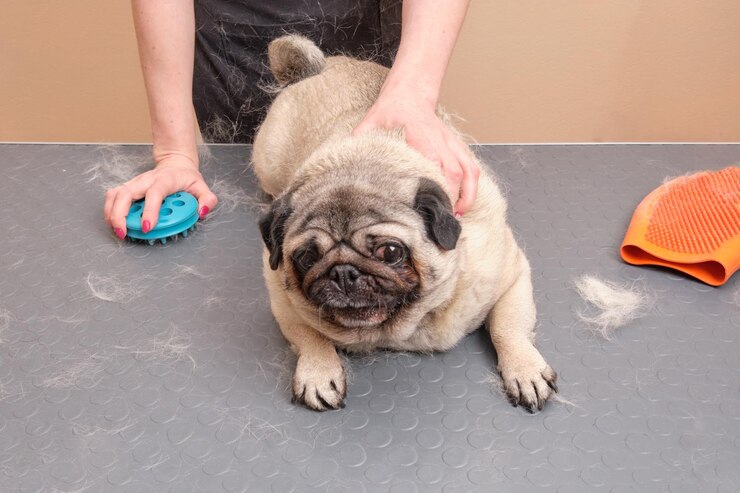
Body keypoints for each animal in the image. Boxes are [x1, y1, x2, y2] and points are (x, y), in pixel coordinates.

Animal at [251, 35, 556, 412]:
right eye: (307, 257)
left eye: (391, 252)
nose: (343, 272)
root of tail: (314, 70)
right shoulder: (281, 297)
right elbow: (309, 335)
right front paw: (317, 372)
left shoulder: (509, 277)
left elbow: (508, 327)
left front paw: (524, 369)